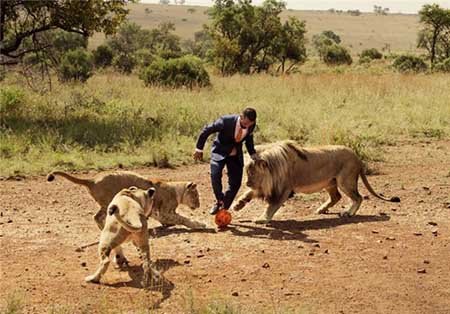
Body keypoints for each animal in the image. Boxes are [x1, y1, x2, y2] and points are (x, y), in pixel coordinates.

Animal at [232, 140, 400, 223]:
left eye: (252, 172)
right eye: (247, 172)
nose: (247, 183)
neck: (273, 168)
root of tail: (357, 157)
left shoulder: (283, 189)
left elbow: (271, 206)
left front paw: (262, 219)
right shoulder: (265, 186)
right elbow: (248, 194)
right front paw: (237, 205)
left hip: (345, 181)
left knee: (358, 197)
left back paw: (348, 213)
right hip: (330, 183)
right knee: (336, 197)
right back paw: (321, 209)